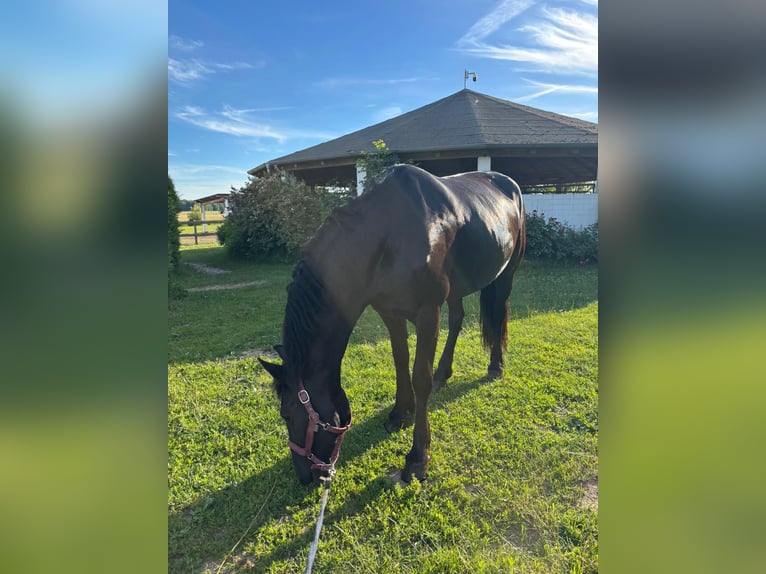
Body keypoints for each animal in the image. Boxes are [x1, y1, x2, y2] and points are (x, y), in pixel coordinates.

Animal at [259, 164, 526, 485]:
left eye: (286, 413)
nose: (304, 476)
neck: (387, 234)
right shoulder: (390, 313)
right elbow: (400, 362)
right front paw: (400, 414)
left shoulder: (427, 315)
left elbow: (420, 378)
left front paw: (418, 458)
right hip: (457, 289)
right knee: (458, 319)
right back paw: (444, 373)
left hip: (507, 274)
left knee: (497, 314)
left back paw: (495, 366)